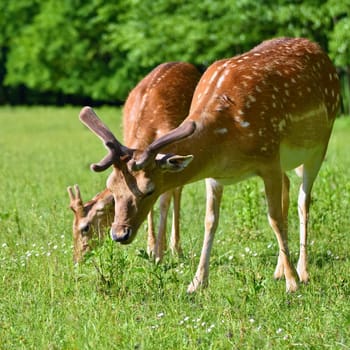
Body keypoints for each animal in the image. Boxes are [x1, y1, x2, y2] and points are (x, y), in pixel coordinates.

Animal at [68, 60, 202, 262]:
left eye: (86, 227)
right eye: (113, 189)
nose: (77, 259)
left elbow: (164, 200)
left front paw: (160, 253)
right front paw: (150, 248)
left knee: (177, 192)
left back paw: (175, 248)